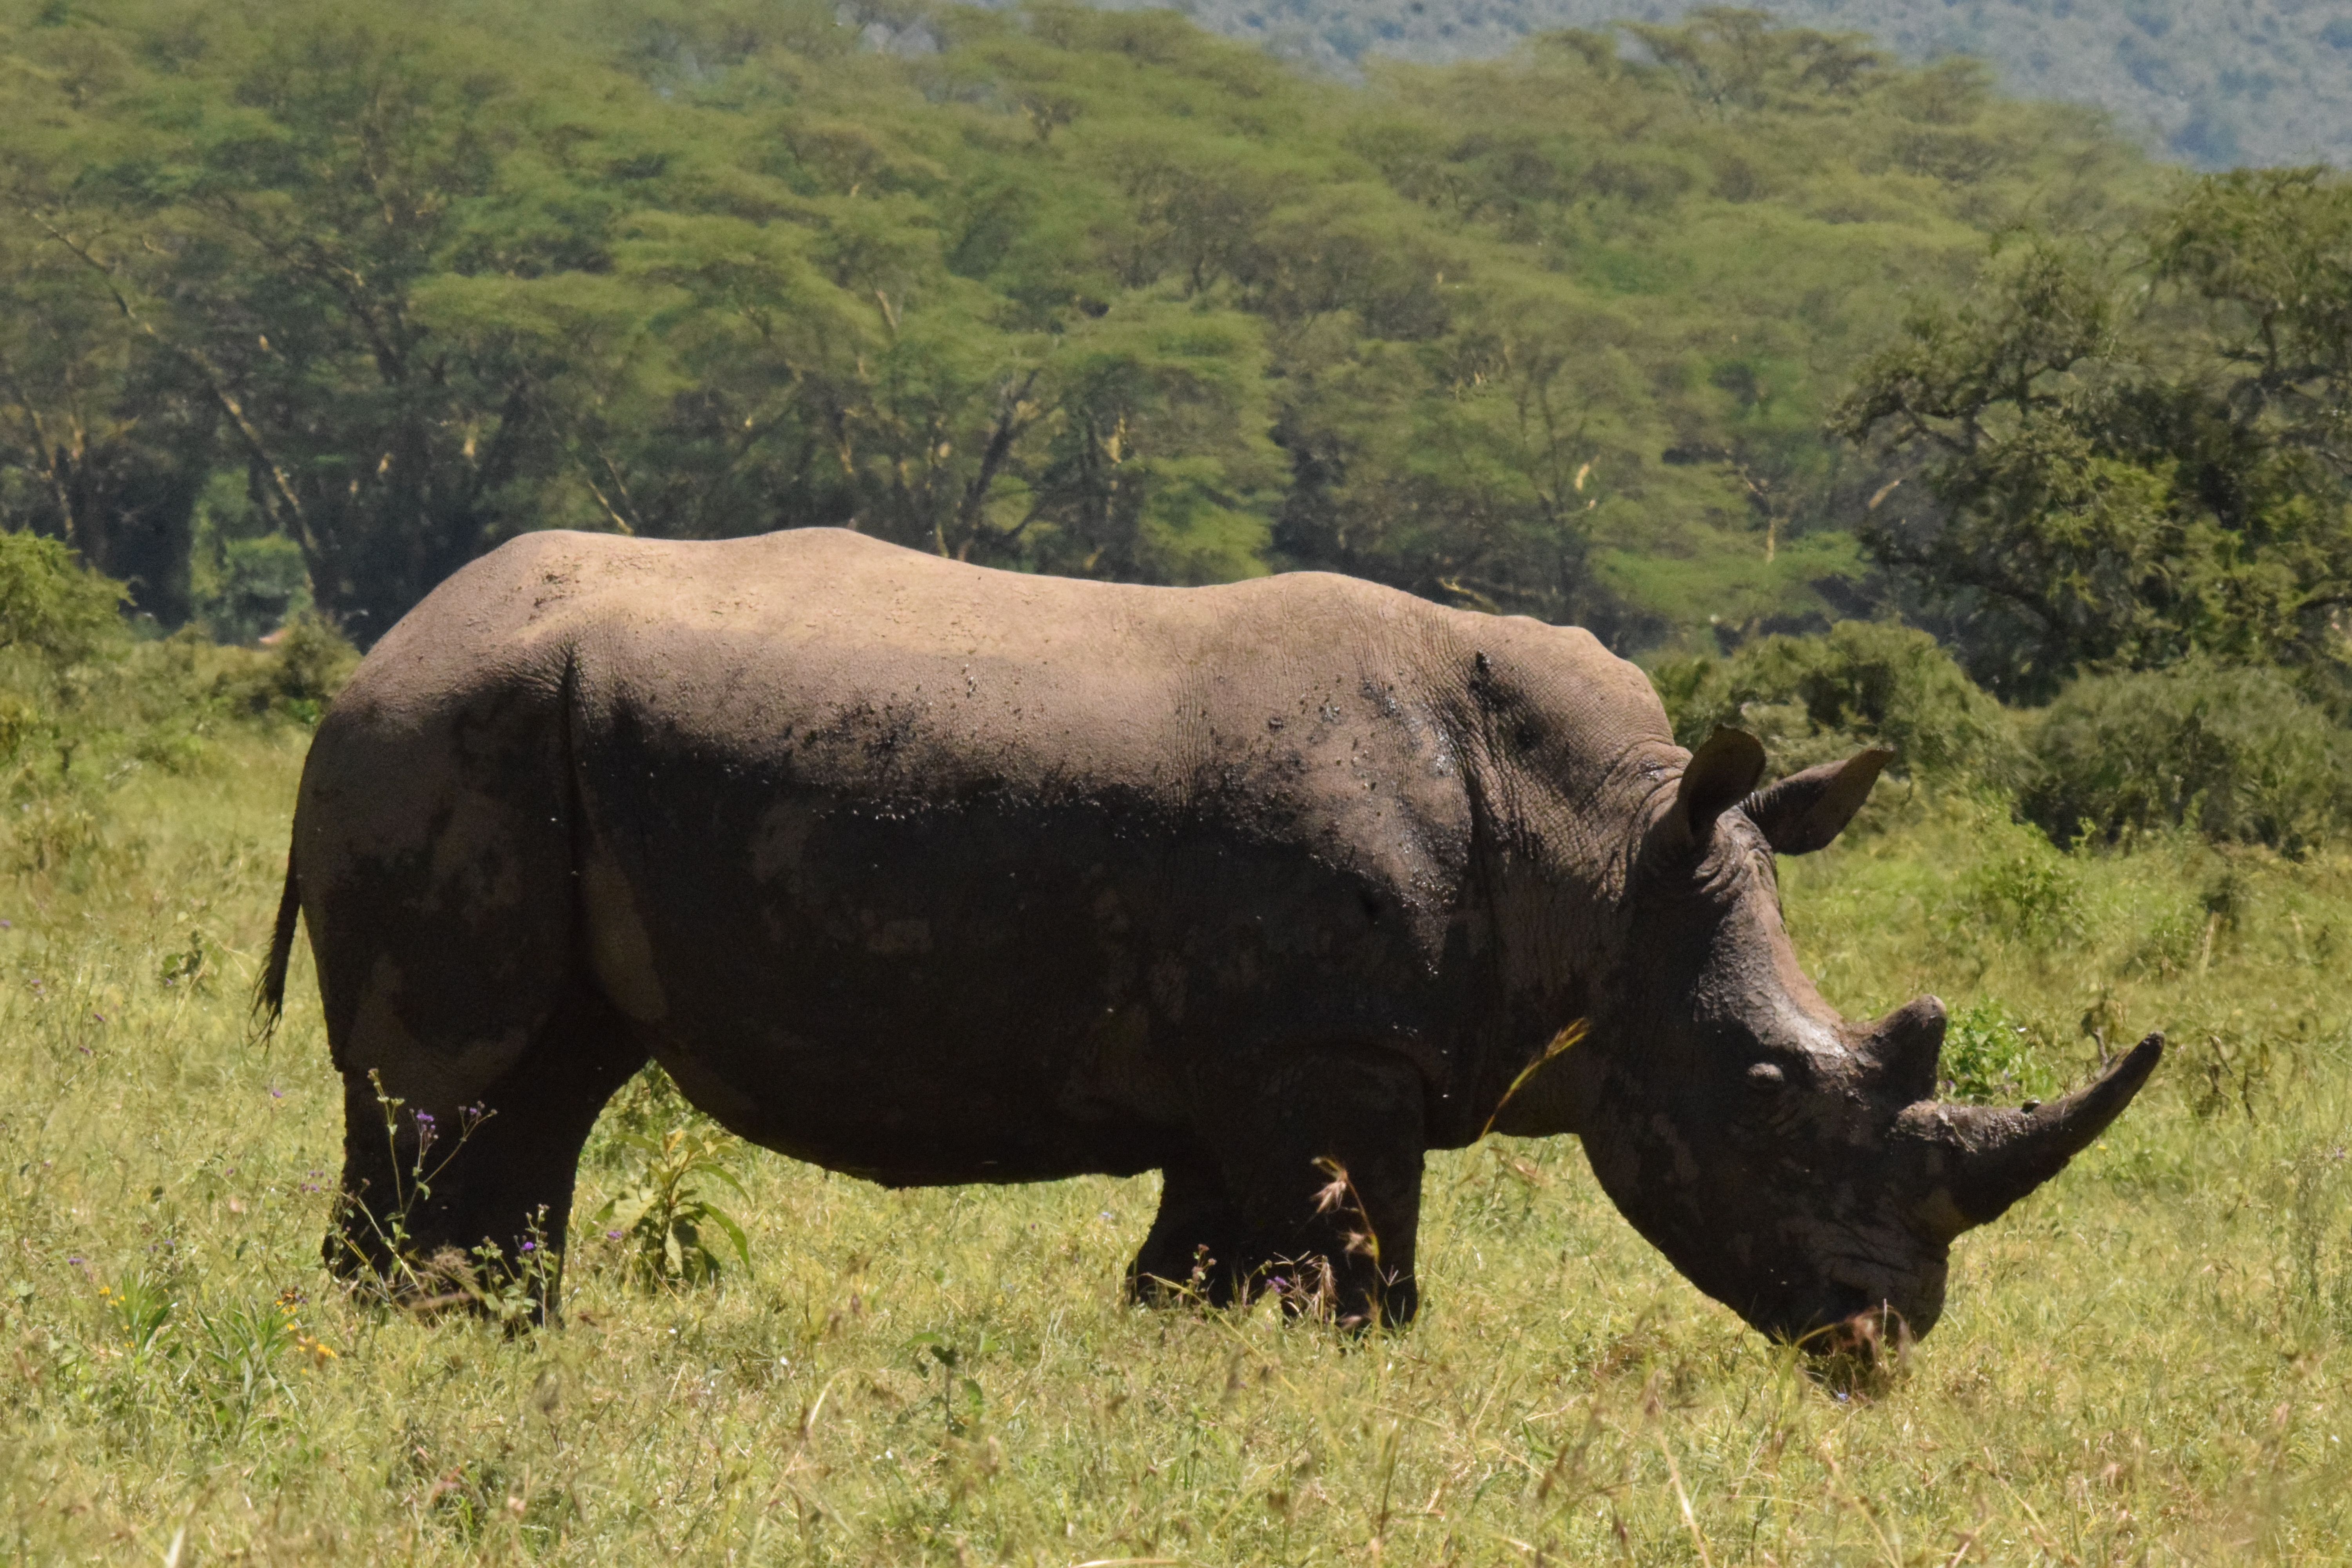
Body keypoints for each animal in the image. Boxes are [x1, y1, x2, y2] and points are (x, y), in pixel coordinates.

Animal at [259, 527, 2159, 1348]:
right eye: (1764, 1093)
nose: (1884, 1334)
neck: (1604, 849)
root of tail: (378, 645)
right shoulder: (1326, 1043)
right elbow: (1358, 1271)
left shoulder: (1255, 1052)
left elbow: (1197, 1264)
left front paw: (1179, 1357)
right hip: (448, 736)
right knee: (452, 1081)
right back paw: (408, 1333)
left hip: (513, 737)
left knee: (550, 1081)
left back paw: (494, 1332)